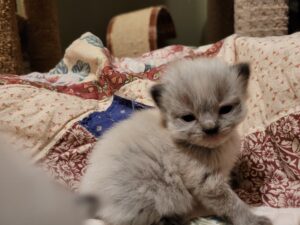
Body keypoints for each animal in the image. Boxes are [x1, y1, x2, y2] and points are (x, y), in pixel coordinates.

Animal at [79, 58, 272, 225]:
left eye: (225, 109)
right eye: (188, 118)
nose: (210, 128)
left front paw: (241, 181)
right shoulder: (209, 184)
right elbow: (233, 204)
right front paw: (253, 220)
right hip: (157, 192)